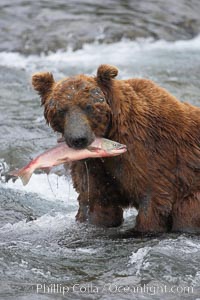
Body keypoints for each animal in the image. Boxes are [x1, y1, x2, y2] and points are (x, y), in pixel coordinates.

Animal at [31, 64, 200, 233]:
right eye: (61, 110)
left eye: (88, 107)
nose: (78, 139)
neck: (110, 131)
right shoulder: (92, 166)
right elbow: (96, 202)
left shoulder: (149, 153)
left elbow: (152, 198)